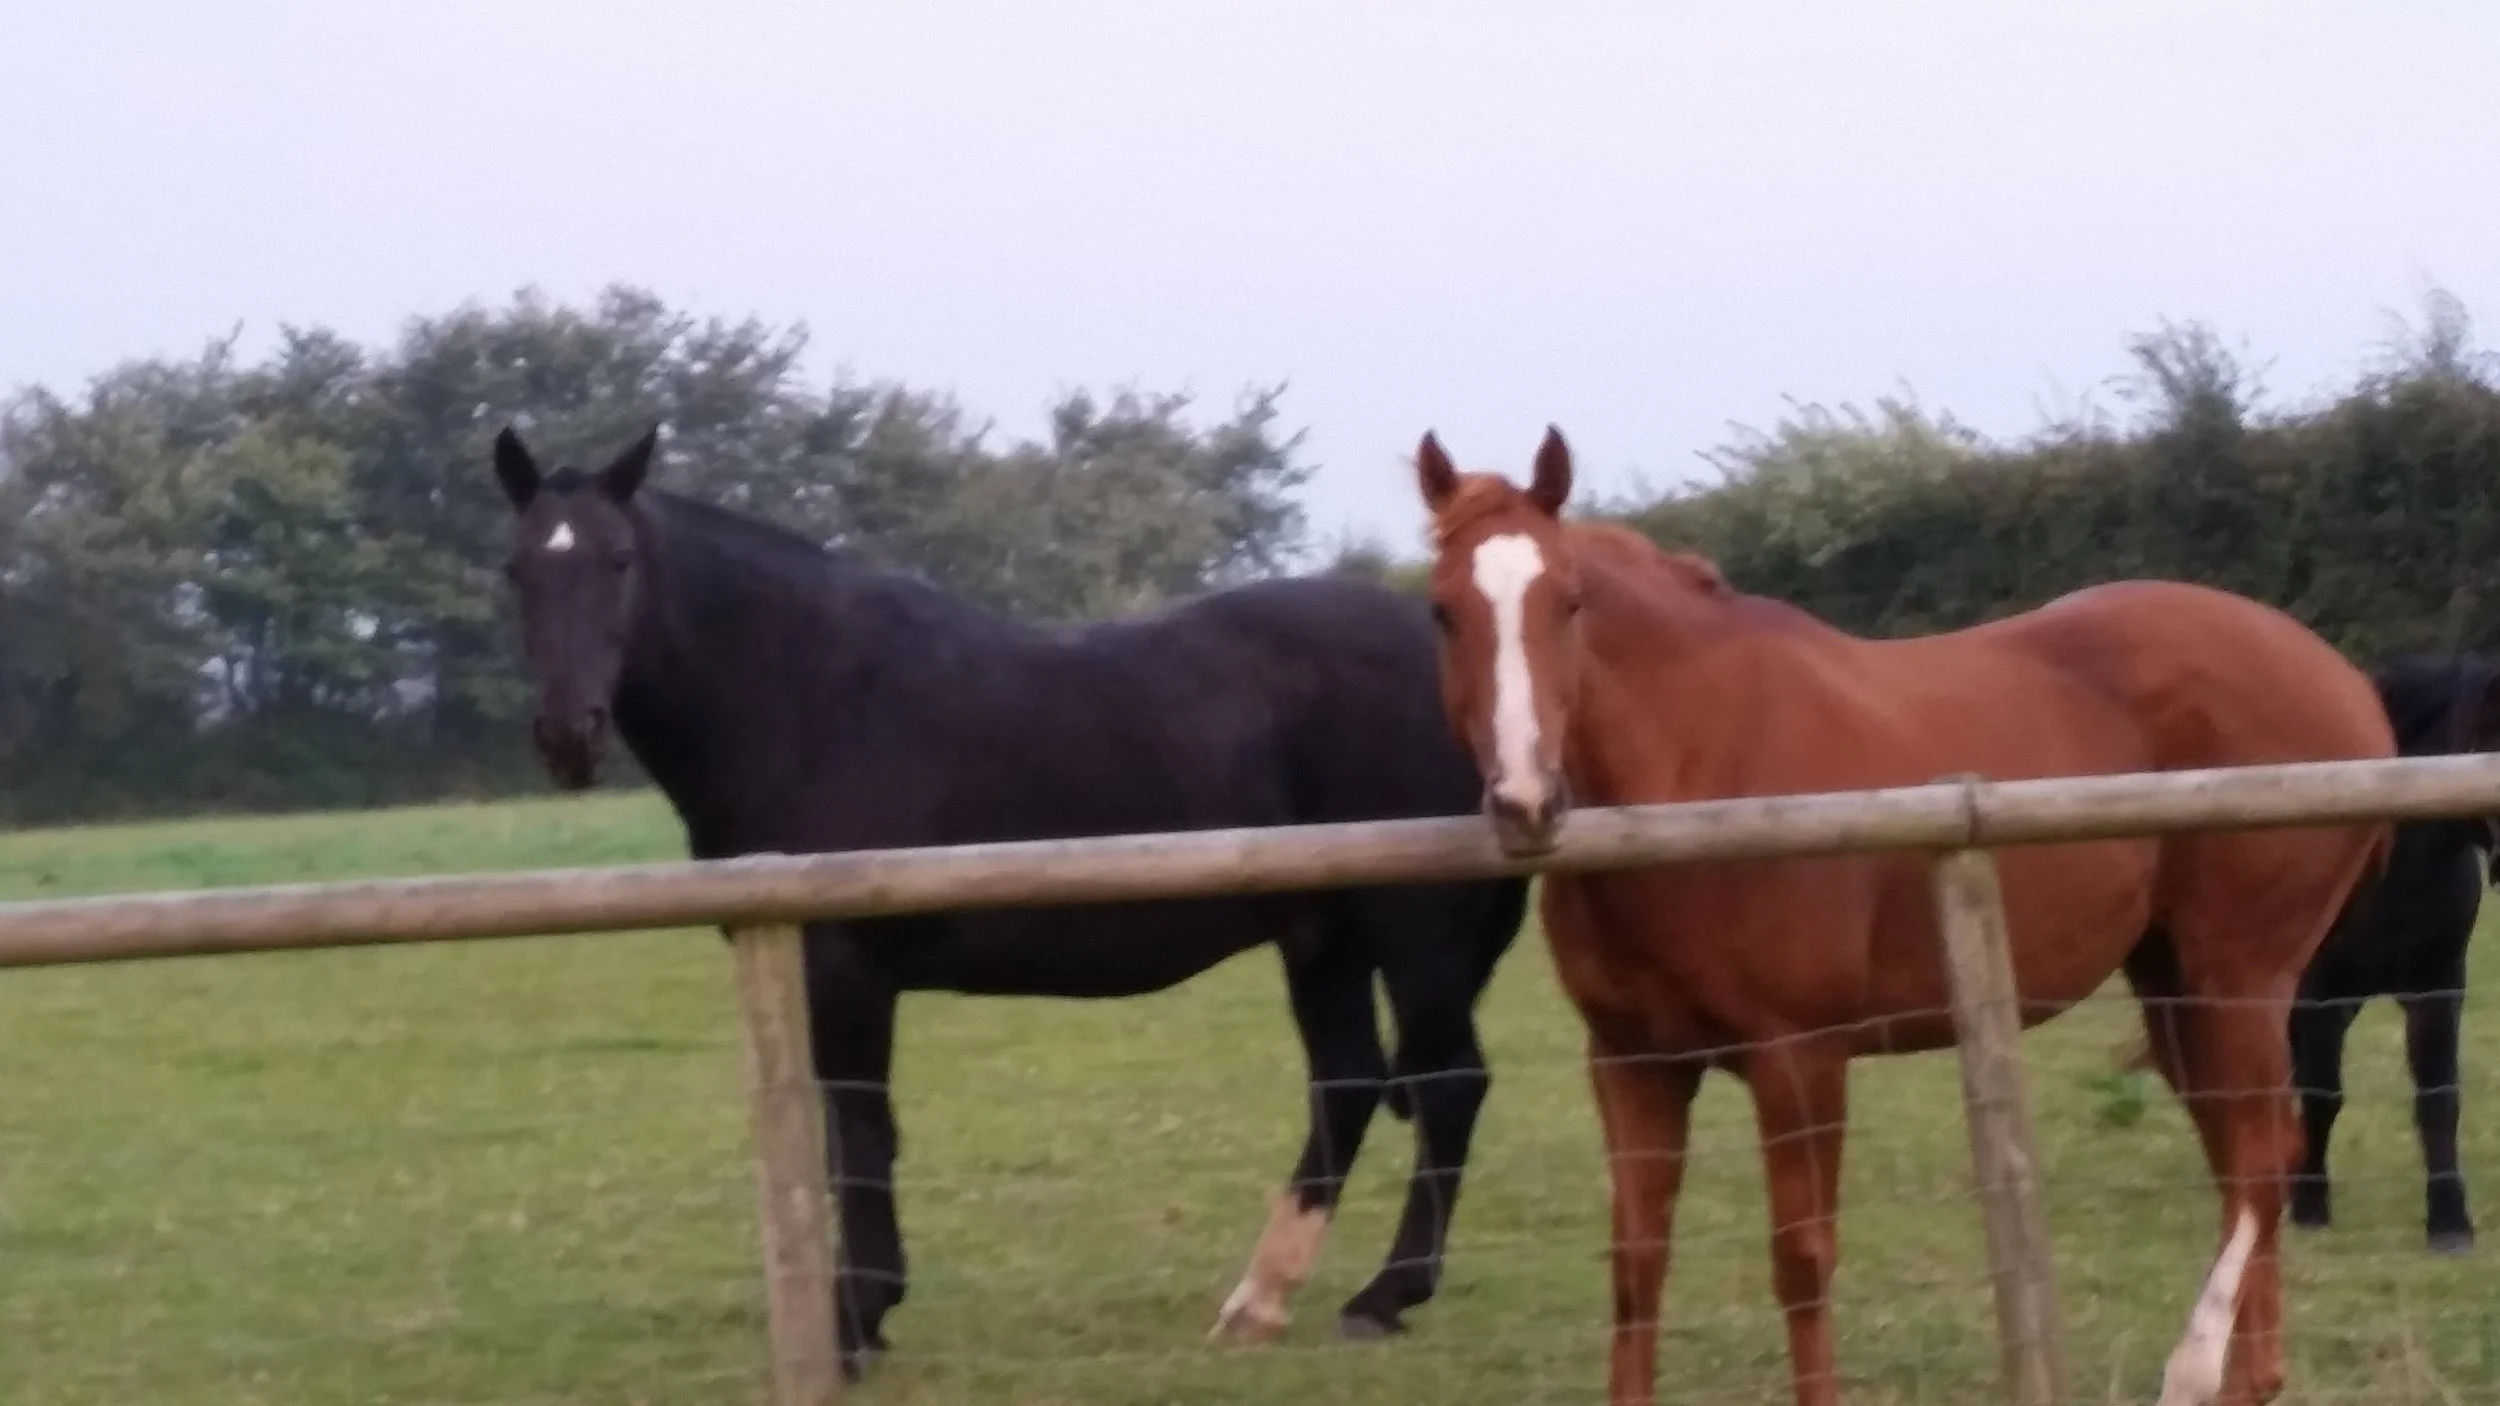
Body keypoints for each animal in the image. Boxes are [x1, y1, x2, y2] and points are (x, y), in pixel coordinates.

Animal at [489, 425, 1529, 1373]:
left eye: (620, 559)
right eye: (518, 570)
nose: (568, 736)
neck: (811, 694)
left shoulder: (845, 968)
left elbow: (858, 1135)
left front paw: (858, 1322)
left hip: (1414, 934)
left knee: (1449, 1085)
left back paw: (1385, 1294)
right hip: (1322, 935)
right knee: (1346, 1084)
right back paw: (1259, 1301)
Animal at [1412, 427, 2394, 1406]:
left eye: (1569, 602)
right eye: (1441, 613)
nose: (1526, 803)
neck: (1702, 773)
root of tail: (2347, 685)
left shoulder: (1799, 1061)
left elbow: (1802, 1264)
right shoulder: (1632, 1064)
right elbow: (1636, 1265)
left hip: (2238, 979)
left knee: (2260, 1159)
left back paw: (2194, 1371)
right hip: (2174, 985)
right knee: (2247, 1153)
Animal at [2285, 652, 2492, 1253]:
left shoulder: (2437, 987)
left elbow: (2439, 1099)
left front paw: (2450, 1221)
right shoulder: (2319, 993)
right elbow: (2323, 1093)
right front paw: (2310, 1205)